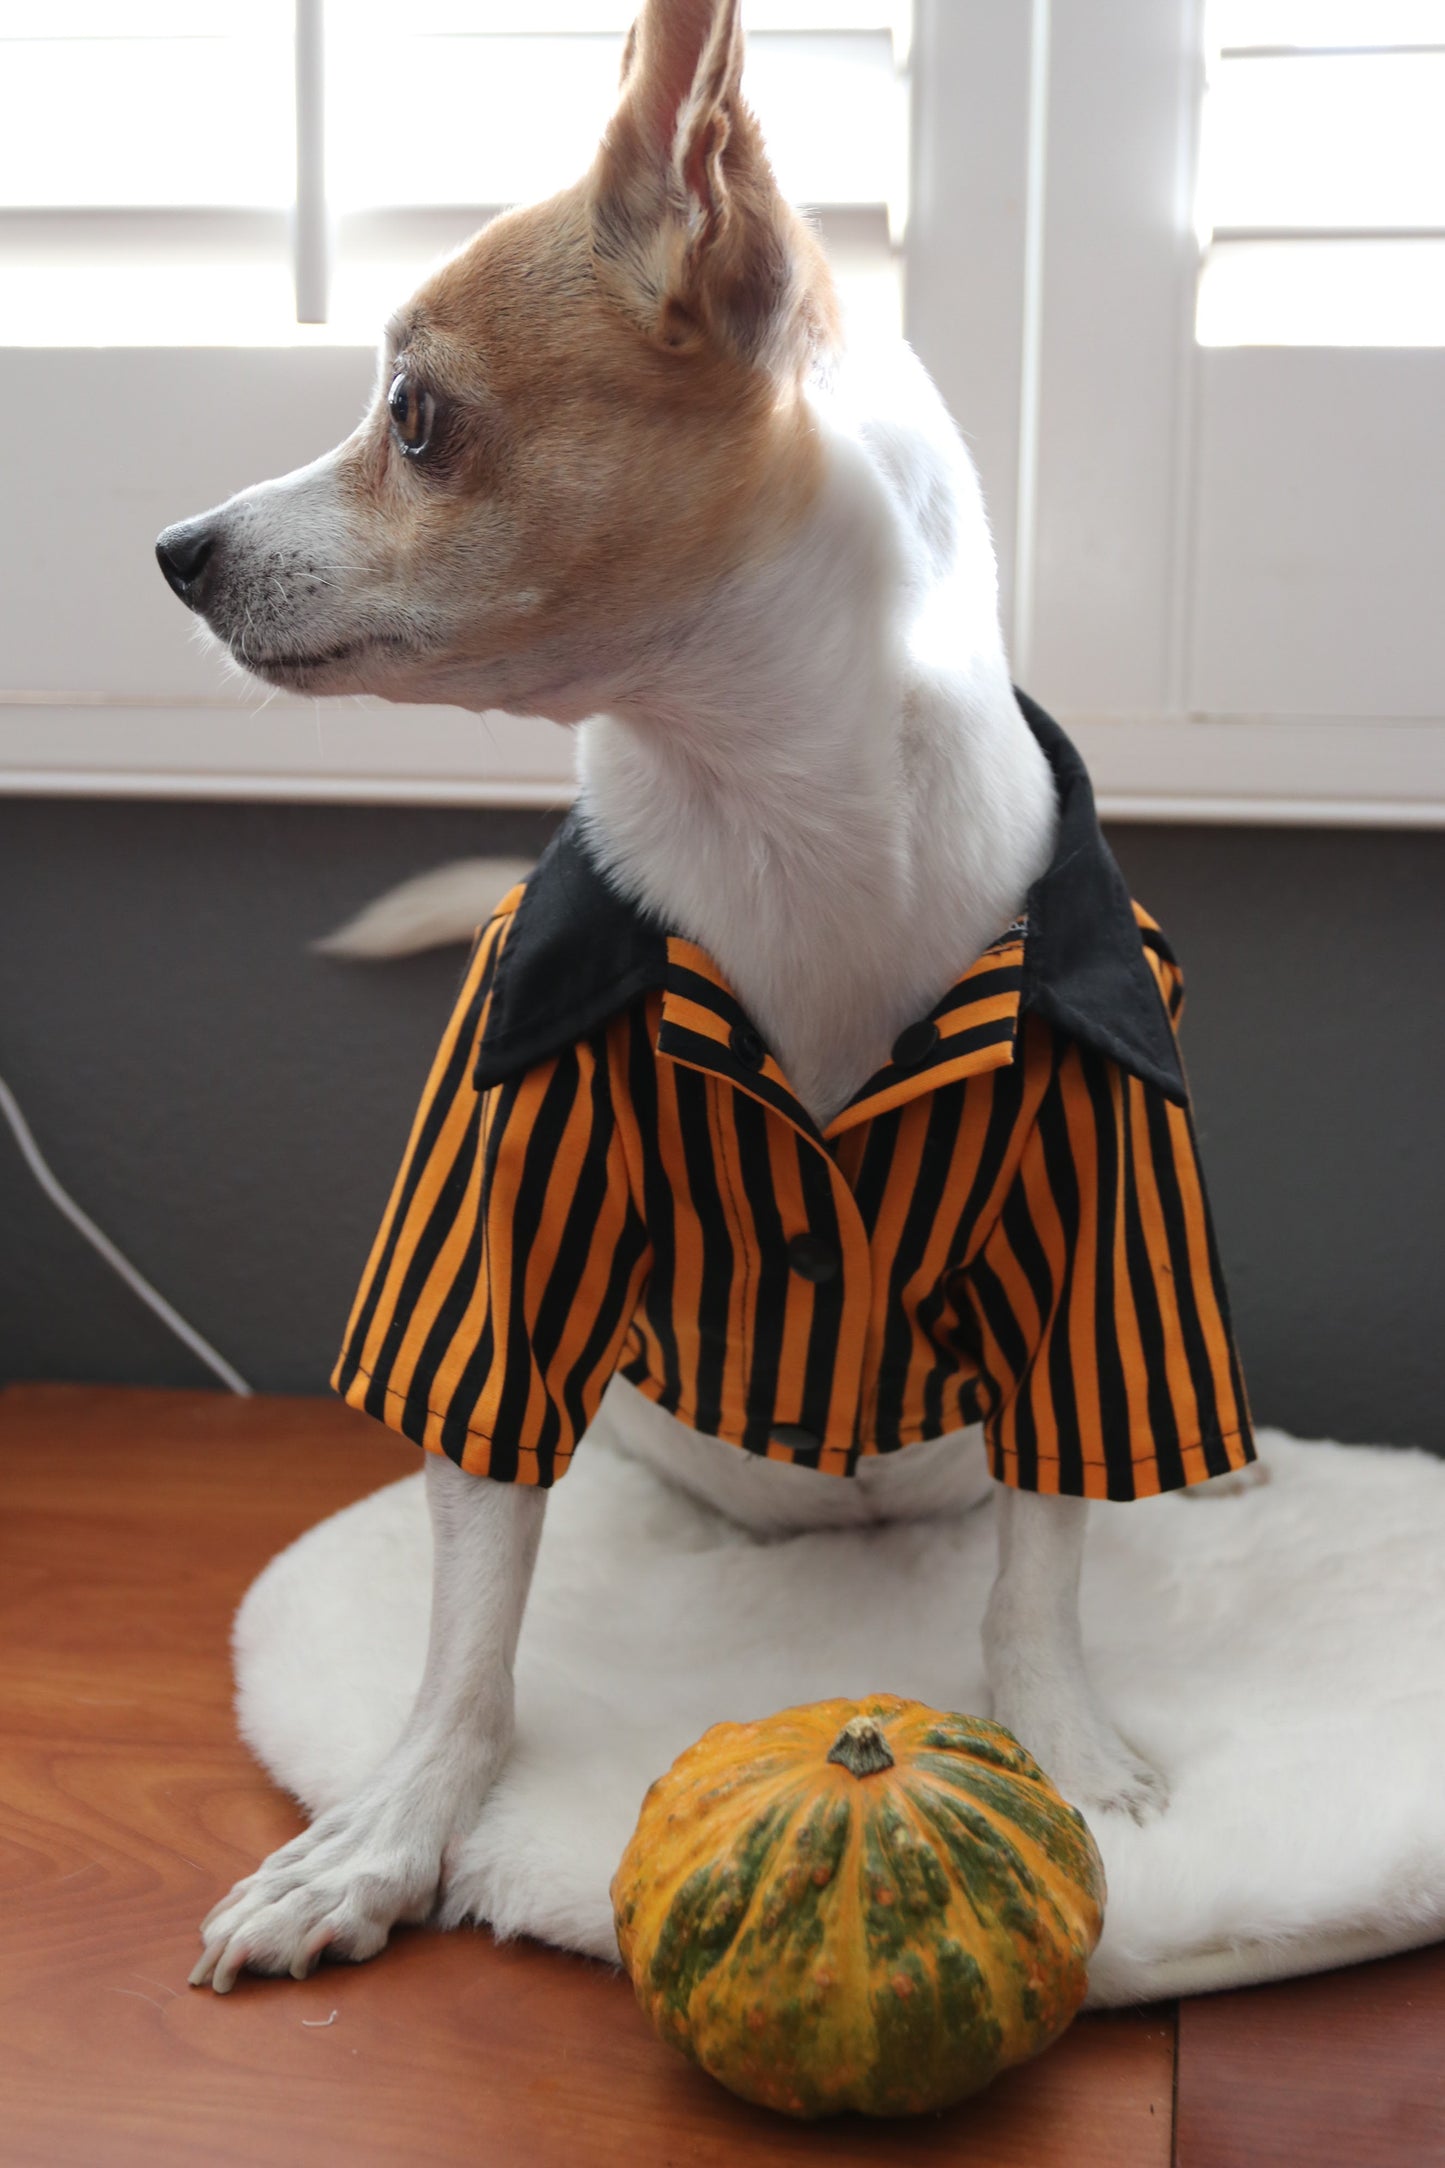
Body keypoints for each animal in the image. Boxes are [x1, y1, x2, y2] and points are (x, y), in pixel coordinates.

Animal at [161, 0, 1256, 1994]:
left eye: (415, 417)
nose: (176, 550)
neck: (776, 819)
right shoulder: (505, 1239)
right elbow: (471, 1616)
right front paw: (390, 1833)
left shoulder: (1092, 1224)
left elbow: (1046, 1562)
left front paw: (1069, 1745)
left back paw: (1206, 1472)